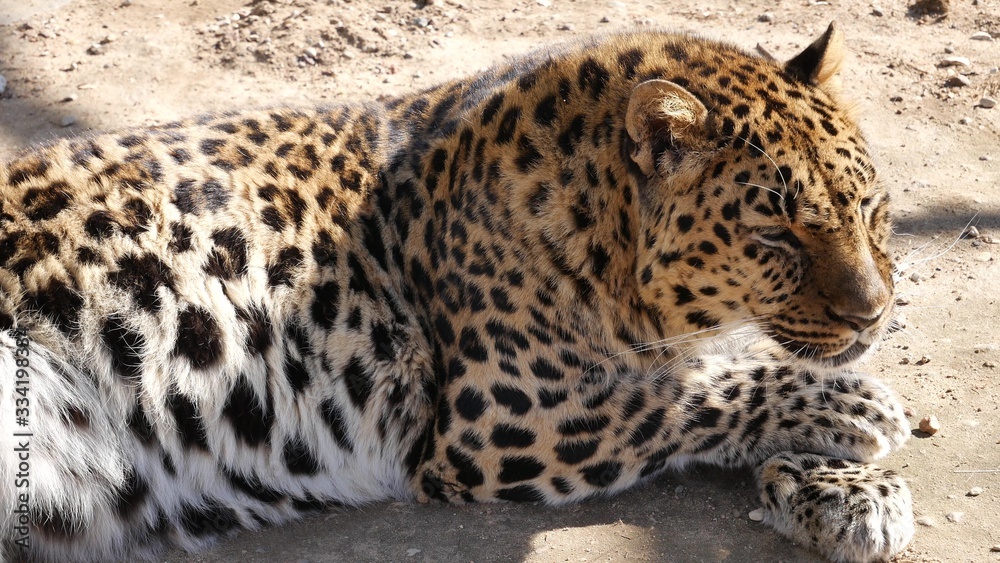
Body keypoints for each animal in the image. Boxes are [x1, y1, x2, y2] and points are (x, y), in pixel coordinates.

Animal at [0, 24, 914, 562]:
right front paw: (854, 410)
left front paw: (846, 489)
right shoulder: (499, 418)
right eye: (776, 236)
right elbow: (683, 395)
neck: (599, 226)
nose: (872, 312)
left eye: (871, 207)